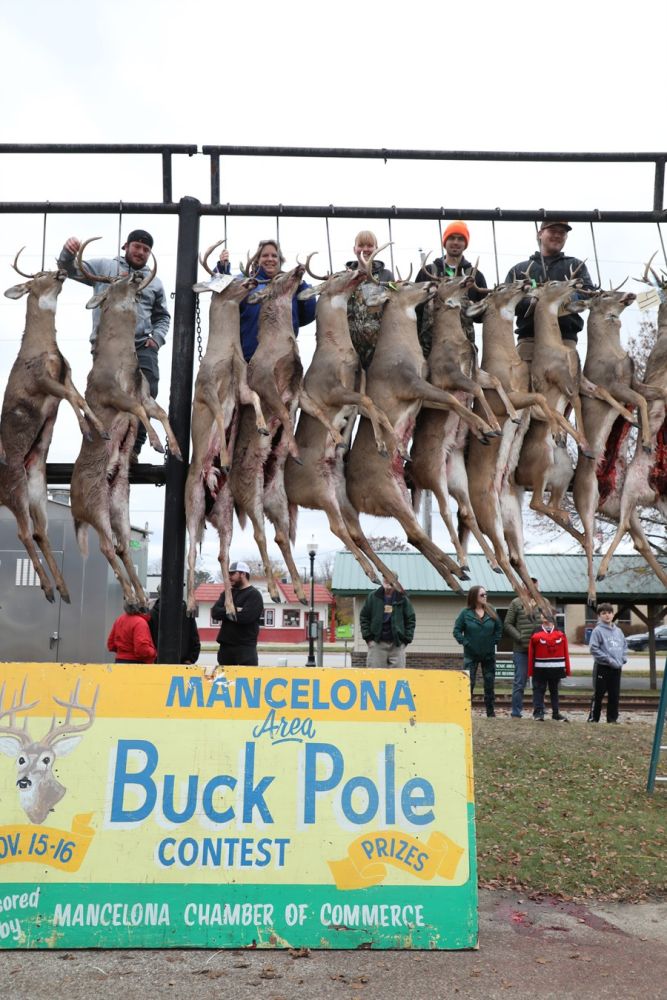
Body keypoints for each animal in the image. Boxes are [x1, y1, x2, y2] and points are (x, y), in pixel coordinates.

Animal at [1, 251, 108, 604]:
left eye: (49, 269)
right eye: (39, 276)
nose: (61, 271)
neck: (41, 347)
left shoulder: (67, 374)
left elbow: (80, 398)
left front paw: (100, 428)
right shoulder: (42, 381)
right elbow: (72, 399)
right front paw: (90, 430)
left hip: (35, 485)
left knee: (39, 532)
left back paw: (63, 590)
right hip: (13, 486)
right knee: (23, 532)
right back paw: (48, 590)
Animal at [70, 238, 182, 609]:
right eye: (115, 282)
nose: (134, 274)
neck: (120, 362)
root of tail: (74, 509)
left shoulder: (144, 393)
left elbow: (159, 413)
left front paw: (176, 449)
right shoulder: (112, 396)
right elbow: (140, 413)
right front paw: (160, 445)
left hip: (118, 504)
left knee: (121, 546)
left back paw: (141, 598)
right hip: (94, 506)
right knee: (106, 547)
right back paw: (133, 596)